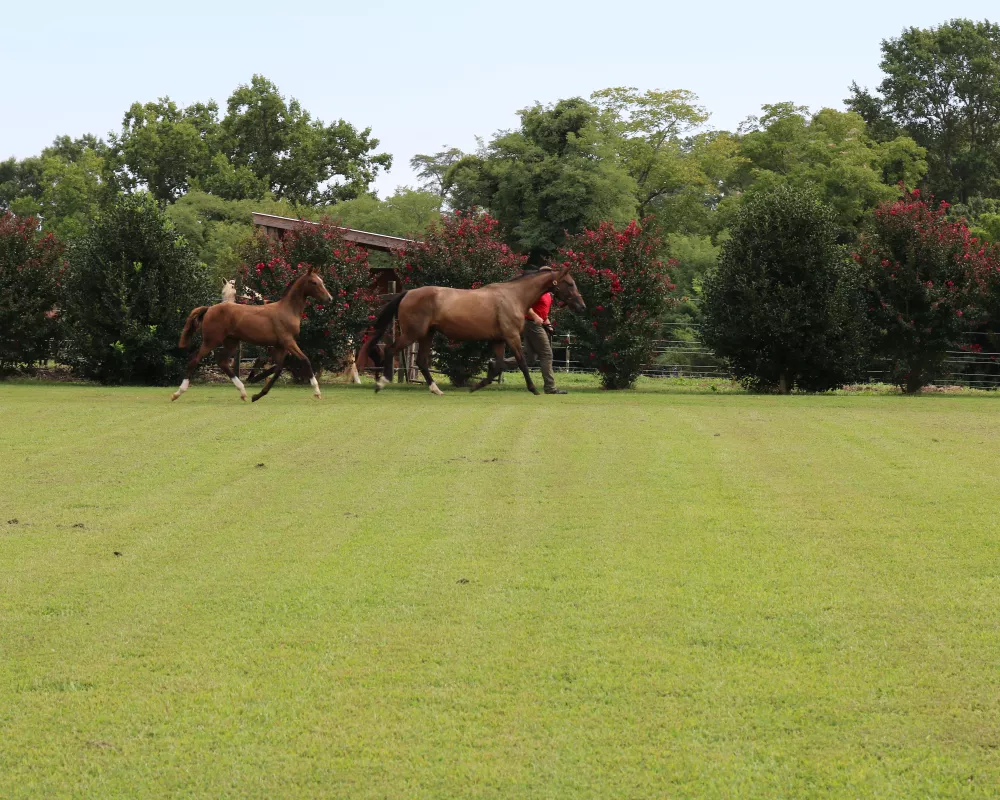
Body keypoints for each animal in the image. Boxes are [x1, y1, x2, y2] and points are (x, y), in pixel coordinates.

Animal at [169, 268, 332, 404]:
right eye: (314, 282)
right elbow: (305, 360)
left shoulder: (280, 346)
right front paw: (317, 392)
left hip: (231, 342)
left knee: (222, 362)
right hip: (211, 341)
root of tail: (209, 309)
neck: (287, 310)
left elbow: (278, 369)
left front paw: (258, 395)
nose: (329, 298)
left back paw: (243, 392)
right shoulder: (288, 342)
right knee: (194, 360)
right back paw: (177, 393)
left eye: (322, 281)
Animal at [360, 268, 584, 396]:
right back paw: (381, 383)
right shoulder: (511, 336)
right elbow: (521, 363)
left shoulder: (498, 340)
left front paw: (476, 386)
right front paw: (534, 389)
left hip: (426, 335)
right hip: (412, 334)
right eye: (570, 283)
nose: (582, 306)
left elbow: (499, 365)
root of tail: (407, 293)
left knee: (422, 361)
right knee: (390, 350)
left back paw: (436, 389)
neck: (514, 296)